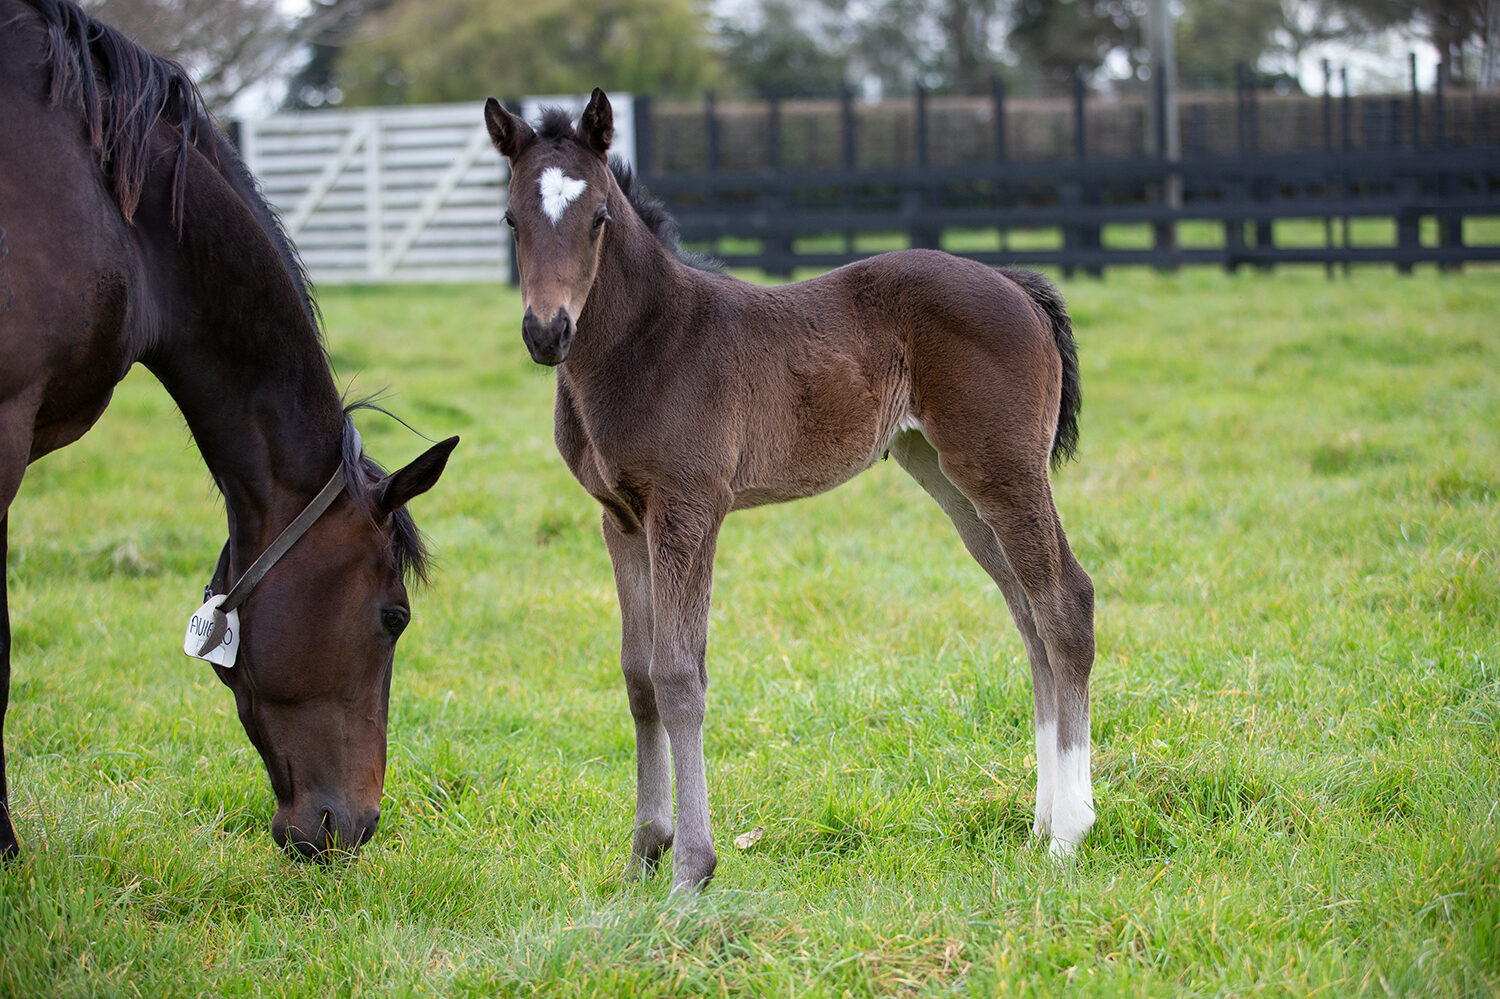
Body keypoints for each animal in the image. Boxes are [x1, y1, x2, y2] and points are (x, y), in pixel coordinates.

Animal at [486, 91, 1098, 888]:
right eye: (510, 219)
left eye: (597, 217)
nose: (546, 332)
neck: (648, 343)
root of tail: (1014, 284)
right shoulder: (620, 518)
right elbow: (637, 677)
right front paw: (643, 856)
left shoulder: (689, 509)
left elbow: (679, 675)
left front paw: (691, 868)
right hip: (948, 477)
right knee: (1027, 615)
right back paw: (1041, 822)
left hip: (1004, 468)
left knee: (1064, 603)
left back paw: (1070, 834)